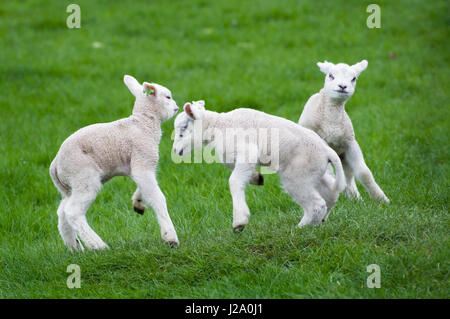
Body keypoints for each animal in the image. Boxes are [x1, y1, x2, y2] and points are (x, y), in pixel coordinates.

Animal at [50, 75, 180, 252]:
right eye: (168, 97)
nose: (176, 107)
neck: (144, 123)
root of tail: (55, 165)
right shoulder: (143, 159)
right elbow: (157, 197)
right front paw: (170, 237)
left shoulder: (138, 165)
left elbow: (145, 188)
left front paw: (138, 204)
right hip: (83, 176)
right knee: (72, 211)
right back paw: (97, 245)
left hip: (69, 186)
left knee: (62, 212)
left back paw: (75, 247)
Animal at [173, 101, 348, 231]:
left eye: (183, 128)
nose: (175, 151)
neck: (219, 126)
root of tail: (327, 151)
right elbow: (233, 167)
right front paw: (256, 178)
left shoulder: (247, 151)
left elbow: (234, 180)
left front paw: (239, 222)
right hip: (313, 171)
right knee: (330, 193)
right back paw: (319, 221)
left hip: (298, 176)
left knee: (316, 204)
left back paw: (301, 228)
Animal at [298, 59, 388, 202]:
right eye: (330, 75)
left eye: (354, 78)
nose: (342, 86)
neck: (332, 121)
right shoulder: (322, 143)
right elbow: (330, 172)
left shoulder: (350, 143)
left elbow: (364, 173)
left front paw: (381, 198)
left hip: (343, 157)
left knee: (348, 174)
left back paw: (354, 196)